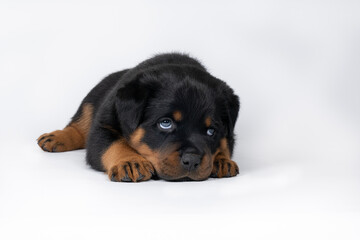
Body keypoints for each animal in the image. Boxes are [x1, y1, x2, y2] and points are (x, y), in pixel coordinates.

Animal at [37, 53, 239, 182]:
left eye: (211, 131)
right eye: (165, 123)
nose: (193, 160)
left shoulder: (230, 135)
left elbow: (225, 145)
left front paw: (221, 161)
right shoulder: (102, 126)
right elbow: (113, 143)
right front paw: (130, 162)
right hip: (91, 100)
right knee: (79, 125)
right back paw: (56, 138)